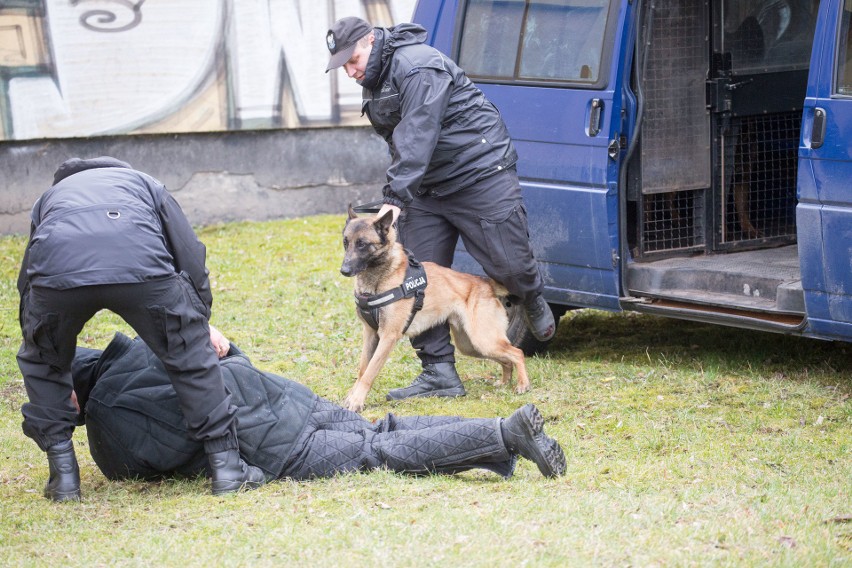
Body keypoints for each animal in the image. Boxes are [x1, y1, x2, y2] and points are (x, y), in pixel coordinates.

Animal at [338, 206, 524, 410]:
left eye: (362, 244)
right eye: (346, 242)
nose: (344, 271)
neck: (380, 278)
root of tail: (485, 283)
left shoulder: (388, 337)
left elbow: (370, 372)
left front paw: (356, 401)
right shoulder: (370, 334)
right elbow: (362, 369)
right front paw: (352, 396)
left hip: (483, 340)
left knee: (518, 353)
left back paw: (523, 385)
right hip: (471, 346)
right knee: (507, 359)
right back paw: (505, 382)